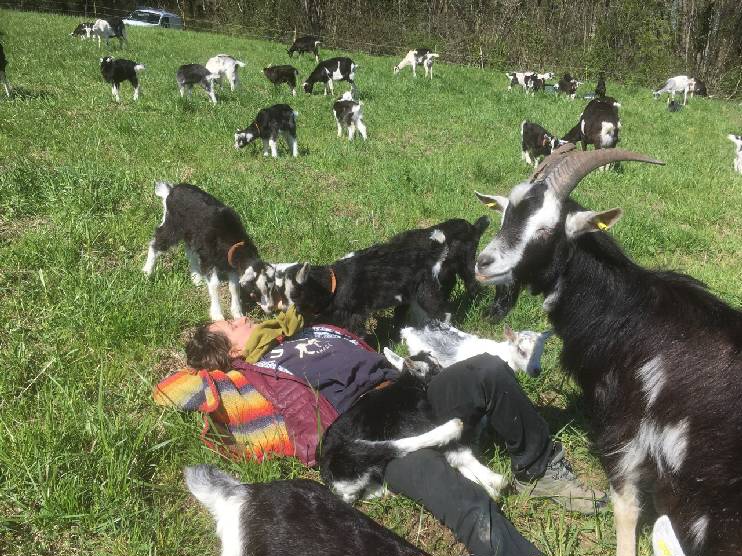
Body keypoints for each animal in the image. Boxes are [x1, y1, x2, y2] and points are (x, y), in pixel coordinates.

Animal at [142, 182, 276, 320]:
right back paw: (147, 271)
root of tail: (172, 190)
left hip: (191, 235)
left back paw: (196, 279)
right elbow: (215, 285)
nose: (271, 308)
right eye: (255, 291)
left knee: (189, 252)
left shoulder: (230, 264)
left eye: (271, 288)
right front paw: (217, 315)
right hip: (172, 225)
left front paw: (237, 313)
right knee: (157, 242)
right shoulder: (208, 259)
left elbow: (234, 287)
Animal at [316, 352, 508, 504]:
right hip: (354, 452)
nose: (446, 367)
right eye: (436, 368)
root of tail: (329, 480)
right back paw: (452, 429)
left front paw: (488, 487)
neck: (408, 384)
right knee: (399, 445)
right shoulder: (413, 421)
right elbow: (458, 453)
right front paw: (494, 482)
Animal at [476, 143, 742, 556]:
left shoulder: (623, 425)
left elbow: (626, 508)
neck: (626, 311)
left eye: (546, 229)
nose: (483, 263)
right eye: (505, 216)